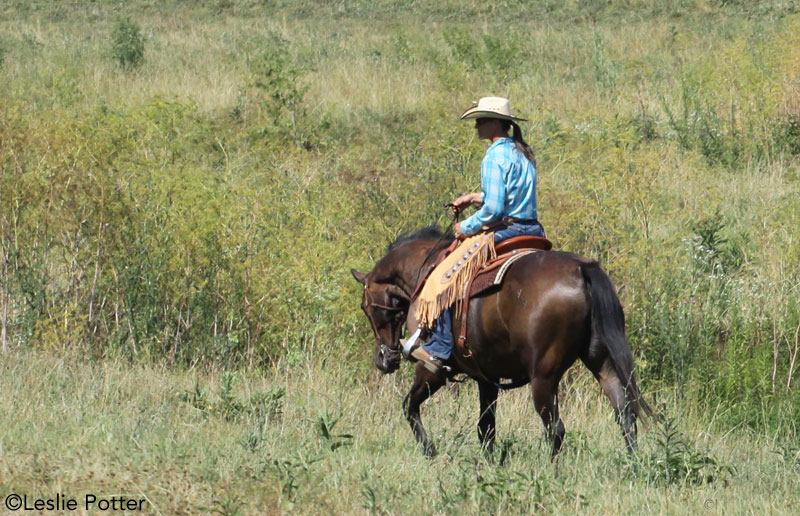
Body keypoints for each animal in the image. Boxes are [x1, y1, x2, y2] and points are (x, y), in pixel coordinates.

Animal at [350, 227, 648, 460]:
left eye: (366, 306)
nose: (383, 359)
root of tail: (580, 270)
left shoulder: (431, 370)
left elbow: (409, 406)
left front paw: (430, 452)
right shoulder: (486, 378)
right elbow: (486, 428)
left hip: (544, 377)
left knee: (556, 429)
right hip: (602, 362)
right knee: (625, 414)